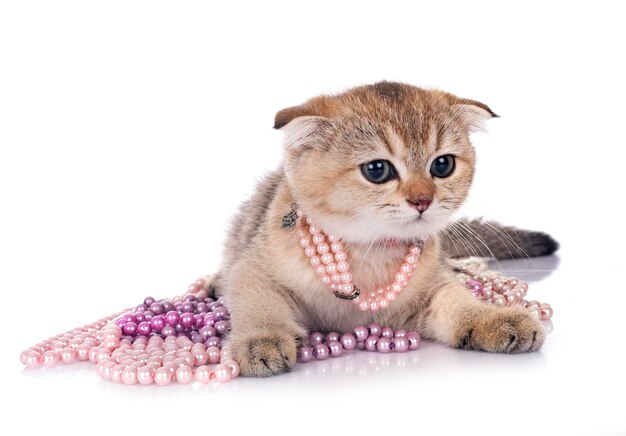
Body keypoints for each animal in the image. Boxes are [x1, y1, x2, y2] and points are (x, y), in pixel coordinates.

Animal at [211, 82, 556, 378]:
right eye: (377, 170)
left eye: (443, 165)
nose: (422, 200)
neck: (368, 252)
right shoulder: (254, 268)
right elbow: (258, 301)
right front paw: (261, 338)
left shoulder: (433, 285)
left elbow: (457, 300)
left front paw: (494, 319)